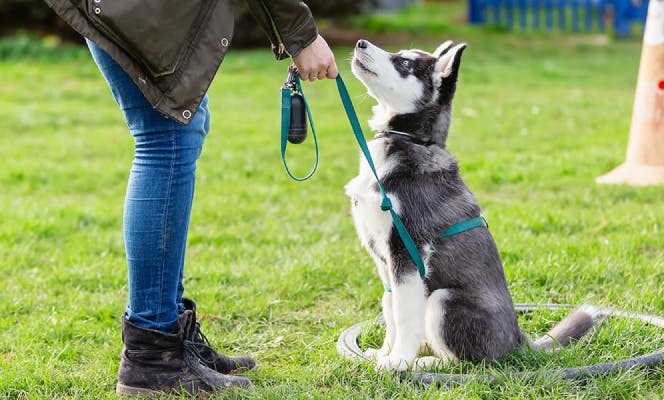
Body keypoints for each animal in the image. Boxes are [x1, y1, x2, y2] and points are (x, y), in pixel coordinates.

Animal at [344, 39, 600, 370]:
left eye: (404, 63)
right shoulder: (384, 261)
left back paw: (428, 363)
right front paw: (385, 352)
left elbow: (404, 315)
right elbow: (389, 308)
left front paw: (398, 361)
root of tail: (518, 340)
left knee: (469, 362)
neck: (409, 141)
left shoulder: (408, 253)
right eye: (398, 55)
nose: (360, 43)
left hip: (443, 299)